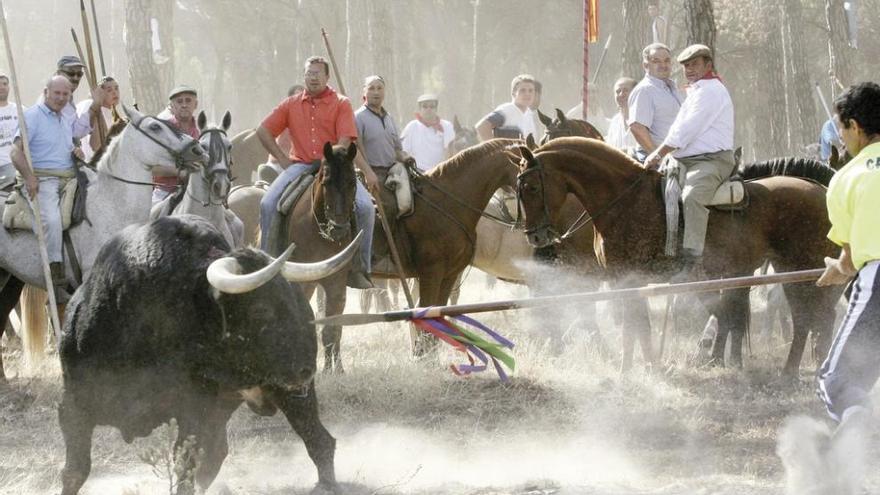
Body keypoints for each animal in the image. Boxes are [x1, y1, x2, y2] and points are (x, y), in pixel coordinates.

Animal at [58, 217, 338, 495]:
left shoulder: (192, 409)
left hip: (292, 396)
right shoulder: (71, 405)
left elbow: (185, 466)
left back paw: (326, 485)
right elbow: (75, 471)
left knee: (319, 441)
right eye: (261, 309)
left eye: (293, 298)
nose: (306, 369)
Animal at [520, 137, 844, 376]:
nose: (534, 236)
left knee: (816, 317)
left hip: (803, 268)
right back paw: (791, 373)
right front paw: (647, 367)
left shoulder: (627, 278)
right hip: (789, 270)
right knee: (805, 318)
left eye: (531, 186)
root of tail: (822, 190)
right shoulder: (627, 281)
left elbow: (633, 327)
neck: (624, 200)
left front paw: (630, 370)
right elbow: (640, 326)